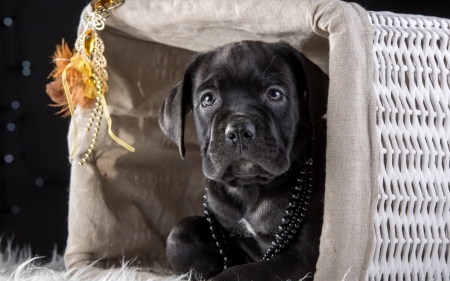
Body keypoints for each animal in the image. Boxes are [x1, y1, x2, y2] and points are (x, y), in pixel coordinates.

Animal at [160, 40, 328, 278]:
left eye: (274, 94)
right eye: (208, 99)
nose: (238, 129)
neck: (249, 188)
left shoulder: (299, 259)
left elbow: (237, 274)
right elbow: (179, 235)